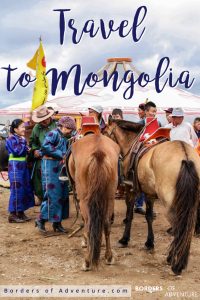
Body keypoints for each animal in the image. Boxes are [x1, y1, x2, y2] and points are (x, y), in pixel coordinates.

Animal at [68, 134, 119, 272]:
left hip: (84, 198)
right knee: (106, 223)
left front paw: (85, 240)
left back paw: (87, 261)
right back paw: (109, 257)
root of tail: (98, 152)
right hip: (109, 196)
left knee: (89, 222)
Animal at [104, 118, 200, 276]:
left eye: (105, 131)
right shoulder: (149, 193)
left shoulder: (130, 189)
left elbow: (129, 215)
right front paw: (149, 242)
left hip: (171, 204)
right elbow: (149, 216)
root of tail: (185, 156)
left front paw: (124, 239)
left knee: (178, 227)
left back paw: (174, 261)